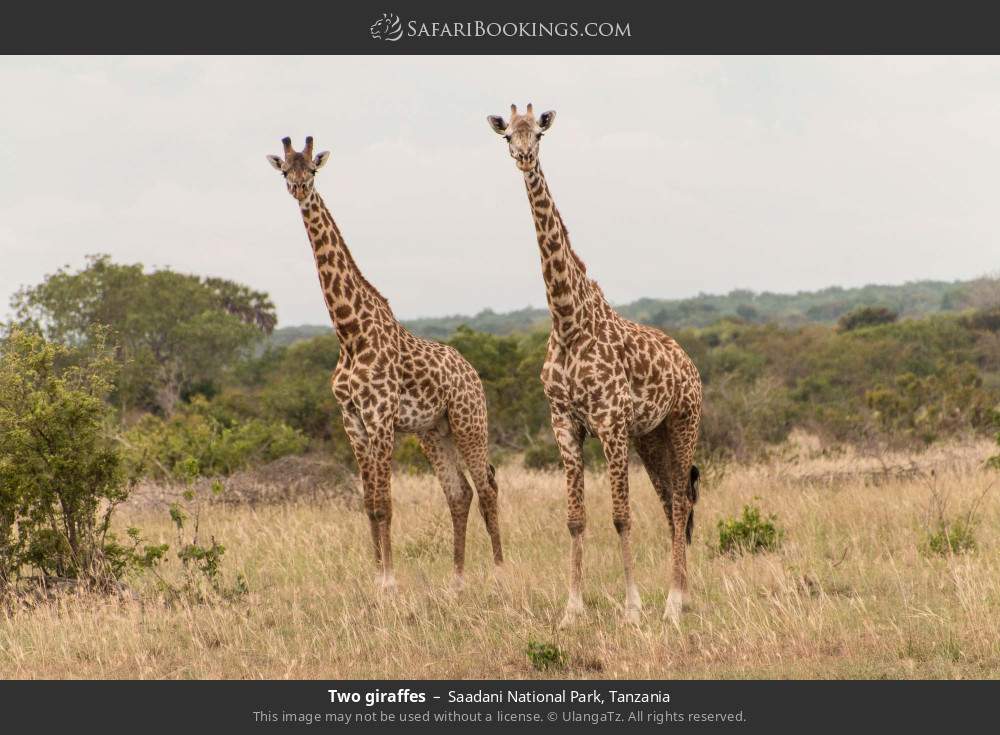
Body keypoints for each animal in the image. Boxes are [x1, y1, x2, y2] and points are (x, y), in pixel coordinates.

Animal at [267, 136, 503, 589]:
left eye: (313, 170)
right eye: (286, 170)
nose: (299, 188)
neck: (349, 333)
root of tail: (471, 371)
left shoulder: (379, 417)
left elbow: (385, 503)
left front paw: (389, 580)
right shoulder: (353, 421)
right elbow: (368, 503)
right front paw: (376, 574)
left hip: (470, 421)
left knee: (488, 488)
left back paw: (500, 571)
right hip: (434, 431)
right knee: (459, 492)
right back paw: (458, 578)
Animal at [487, 106, 703, 625]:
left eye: (538, 132)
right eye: (507, 135)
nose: (524, 157)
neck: (568, 322)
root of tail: (688, 362)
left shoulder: (610, 422)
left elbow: (621, 517)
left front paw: (632, 609)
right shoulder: (565, 423)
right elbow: (575, 518)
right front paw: (572, 610)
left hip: (684, 422)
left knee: (681, 500)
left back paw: (671, 604)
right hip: (651, 435)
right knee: (672, 501)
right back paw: (681, 597)